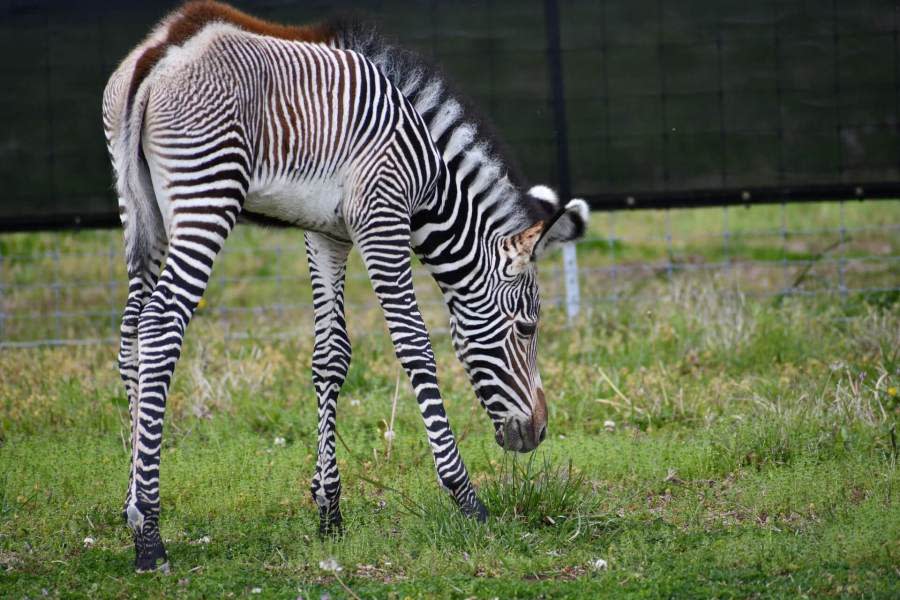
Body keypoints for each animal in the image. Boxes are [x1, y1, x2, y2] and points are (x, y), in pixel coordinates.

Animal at [103, 1, 592, 572]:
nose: (539, 432)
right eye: (528, 327)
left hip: (141, 210)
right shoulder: (382, 218)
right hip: (208, 192)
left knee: (132, 337)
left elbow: (331, 356)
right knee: (162, 326)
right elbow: (415, 347)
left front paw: (328, 509)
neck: (430, 178)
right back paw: (149, 535)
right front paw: (465, 496)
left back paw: (131, 504)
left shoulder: (326, 233)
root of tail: (164, 49)